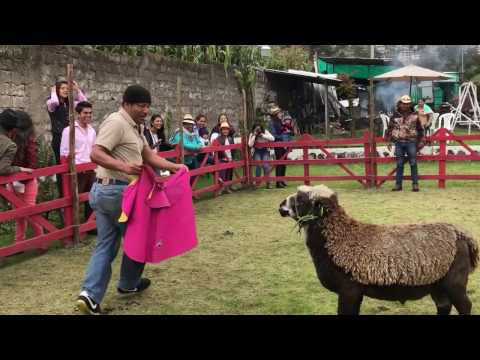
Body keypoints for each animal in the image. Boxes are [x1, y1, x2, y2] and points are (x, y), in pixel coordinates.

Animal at [280, 186, 478, 316]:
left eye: (301, 199)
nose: (281, 206)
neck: (338, 239)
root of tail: (460, 234)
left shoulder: (349, 291)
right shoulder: (355, 293)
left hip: (455, 282)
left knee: (465, 306)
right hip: (437, 283)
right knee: (444, 306)